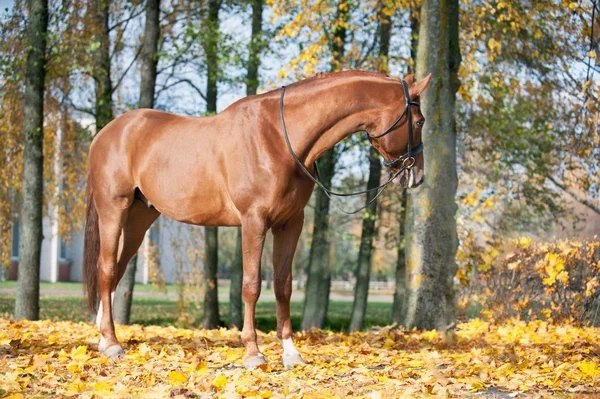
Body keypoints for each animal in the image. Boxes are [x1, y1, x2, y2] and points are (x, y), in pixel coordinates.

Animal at [83, 69, 432, 368]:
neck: (278, 137)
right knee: (107, 269)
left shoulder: (290, 224)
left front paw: (291, 353)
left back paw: (102, 338)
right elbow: (251, 285)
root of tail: (106, 133)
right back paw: (112, 343)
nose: (416, 176)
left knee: (116, 271)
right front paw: (253, 352)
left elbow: (283, 284)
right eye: (419, 121)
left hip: (140, 218)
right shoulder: (254, 221)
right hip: (114, 210)